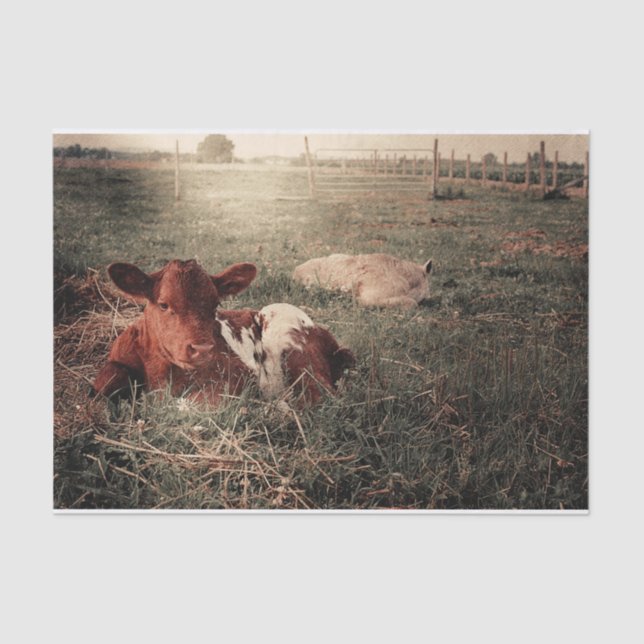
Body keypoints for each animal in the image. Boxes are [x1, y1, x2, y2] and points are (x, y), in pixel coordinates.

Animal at [92, 259, 354, 406]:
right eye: (164, 304)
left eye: (215, 304)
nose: (202, 349)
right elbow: (101, 385)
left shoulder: (238, 373)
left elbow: (191, 405)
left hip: (293, 347)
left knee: (320, 396)